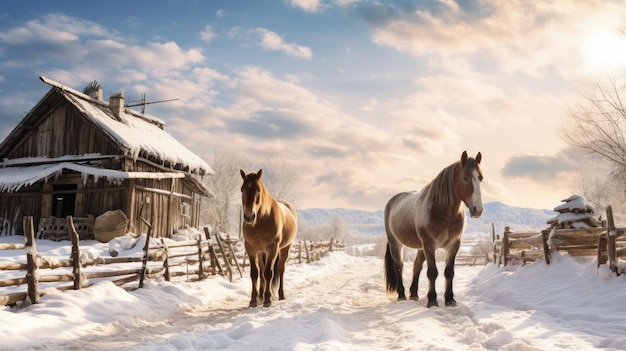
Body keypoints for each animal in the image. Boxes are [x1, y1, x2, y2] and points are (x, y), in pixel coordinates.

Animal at [240, 169, 296, 306]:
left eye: (258, 190)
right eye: (242, 189)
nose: (249, 217)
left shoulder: (272, 248)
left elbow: (268, 273)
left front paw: (267, 299)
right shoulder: (251, 249)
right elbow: (255, 273)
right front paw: (253, 300)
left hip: (284, 248)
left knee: (280, 269)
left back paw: (281, 295)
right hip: (261, 252)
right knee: (261, 269)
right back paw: (260, 294)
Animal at [380, 151, 482, 308]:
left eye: (480, 178)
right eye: (465, 178)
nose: (478, 209)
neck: (443, 212)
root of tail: (392, 201)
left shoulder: (453, 245)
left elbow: (449, 272)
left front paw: (450, 300)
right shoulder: (429, 245)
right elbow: (432, 272)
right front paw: (432, 300)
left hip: (420, 247)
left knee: (416, 265)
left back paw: (414, 294)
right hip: (395, 243)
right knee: (399, 266)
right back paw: (402, 295)